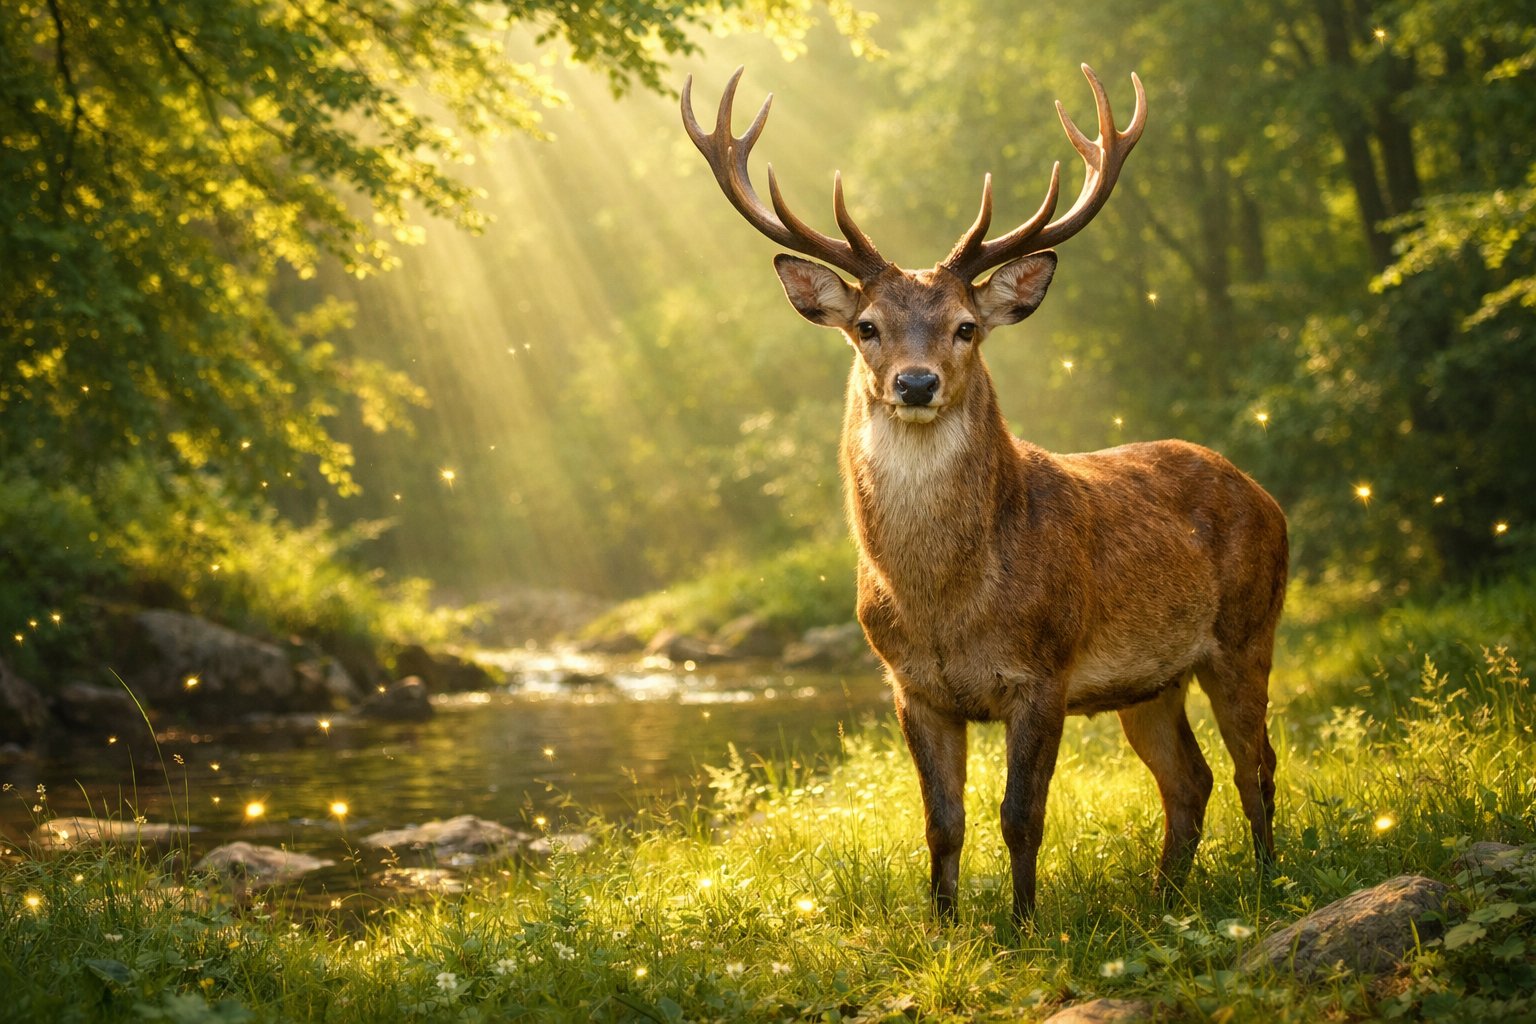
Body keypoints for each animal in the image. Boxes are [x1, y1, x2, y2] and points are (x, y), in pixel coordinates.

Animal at [681, 66, 1288, 923]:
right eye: (867, 326)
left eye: (966, 326)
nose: (916, 381)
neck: (946, 603)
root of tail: (1264, 495)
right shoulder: (911, 687)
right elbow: (942, 822)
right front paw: (942, 926)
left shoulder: (1044, 673)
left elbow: (1021, 816)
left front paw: (1025, 925)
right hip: (1152, 680)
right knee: (1190, 779)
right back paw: (1163, 899)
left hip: (1247, 630)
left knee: (1255, 762)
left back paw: (1269, 880)